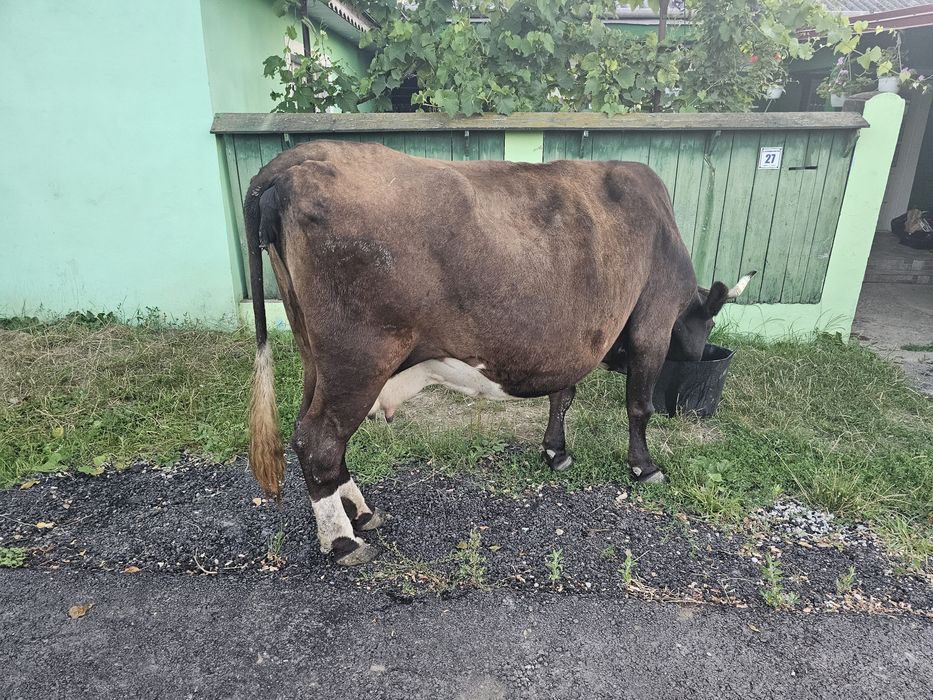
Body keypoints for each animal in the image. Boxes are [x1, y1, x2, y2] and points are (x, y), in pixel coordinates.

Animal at [244, 140, 754, 565]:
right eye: (708, 322)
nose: (705, 352)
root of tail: (303, 155)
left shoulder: (569, 340)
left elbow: (562, 395)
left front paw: (556, 451)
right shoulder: (652, 323)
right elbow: (639, 406)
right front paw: (644, 468)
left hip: (316, 356)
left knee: (308, 428)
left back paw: (361, 512)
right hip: (359, 357)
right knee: (319, 438)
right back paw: (343, 540)